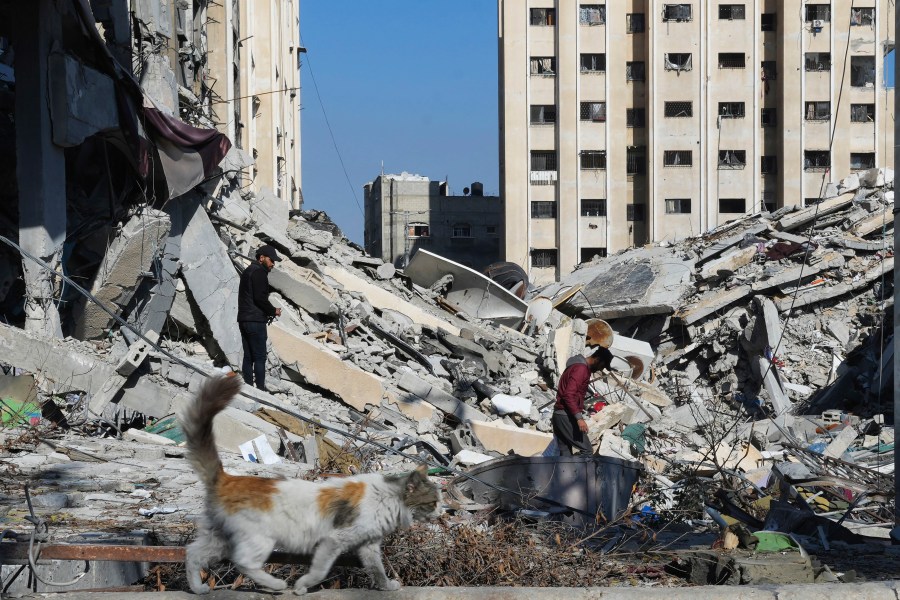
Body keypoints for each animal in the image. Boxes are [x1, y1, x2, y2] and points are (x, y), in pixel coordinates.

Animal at [180, 376, 442, 596]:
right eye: (434, 502)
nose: (443, 511)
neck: (389, 497)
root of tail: (227, 478)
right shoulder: (334, 541)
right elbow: (319, 571)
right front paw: (301, 587)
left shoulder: (368, 546)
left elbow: (377, 570)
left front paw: (387, 587)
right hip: (259, 538)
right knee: (243, 563)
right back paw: (276, 585)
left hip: (219, 537)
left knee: (192, 554)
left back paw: (198, 588)